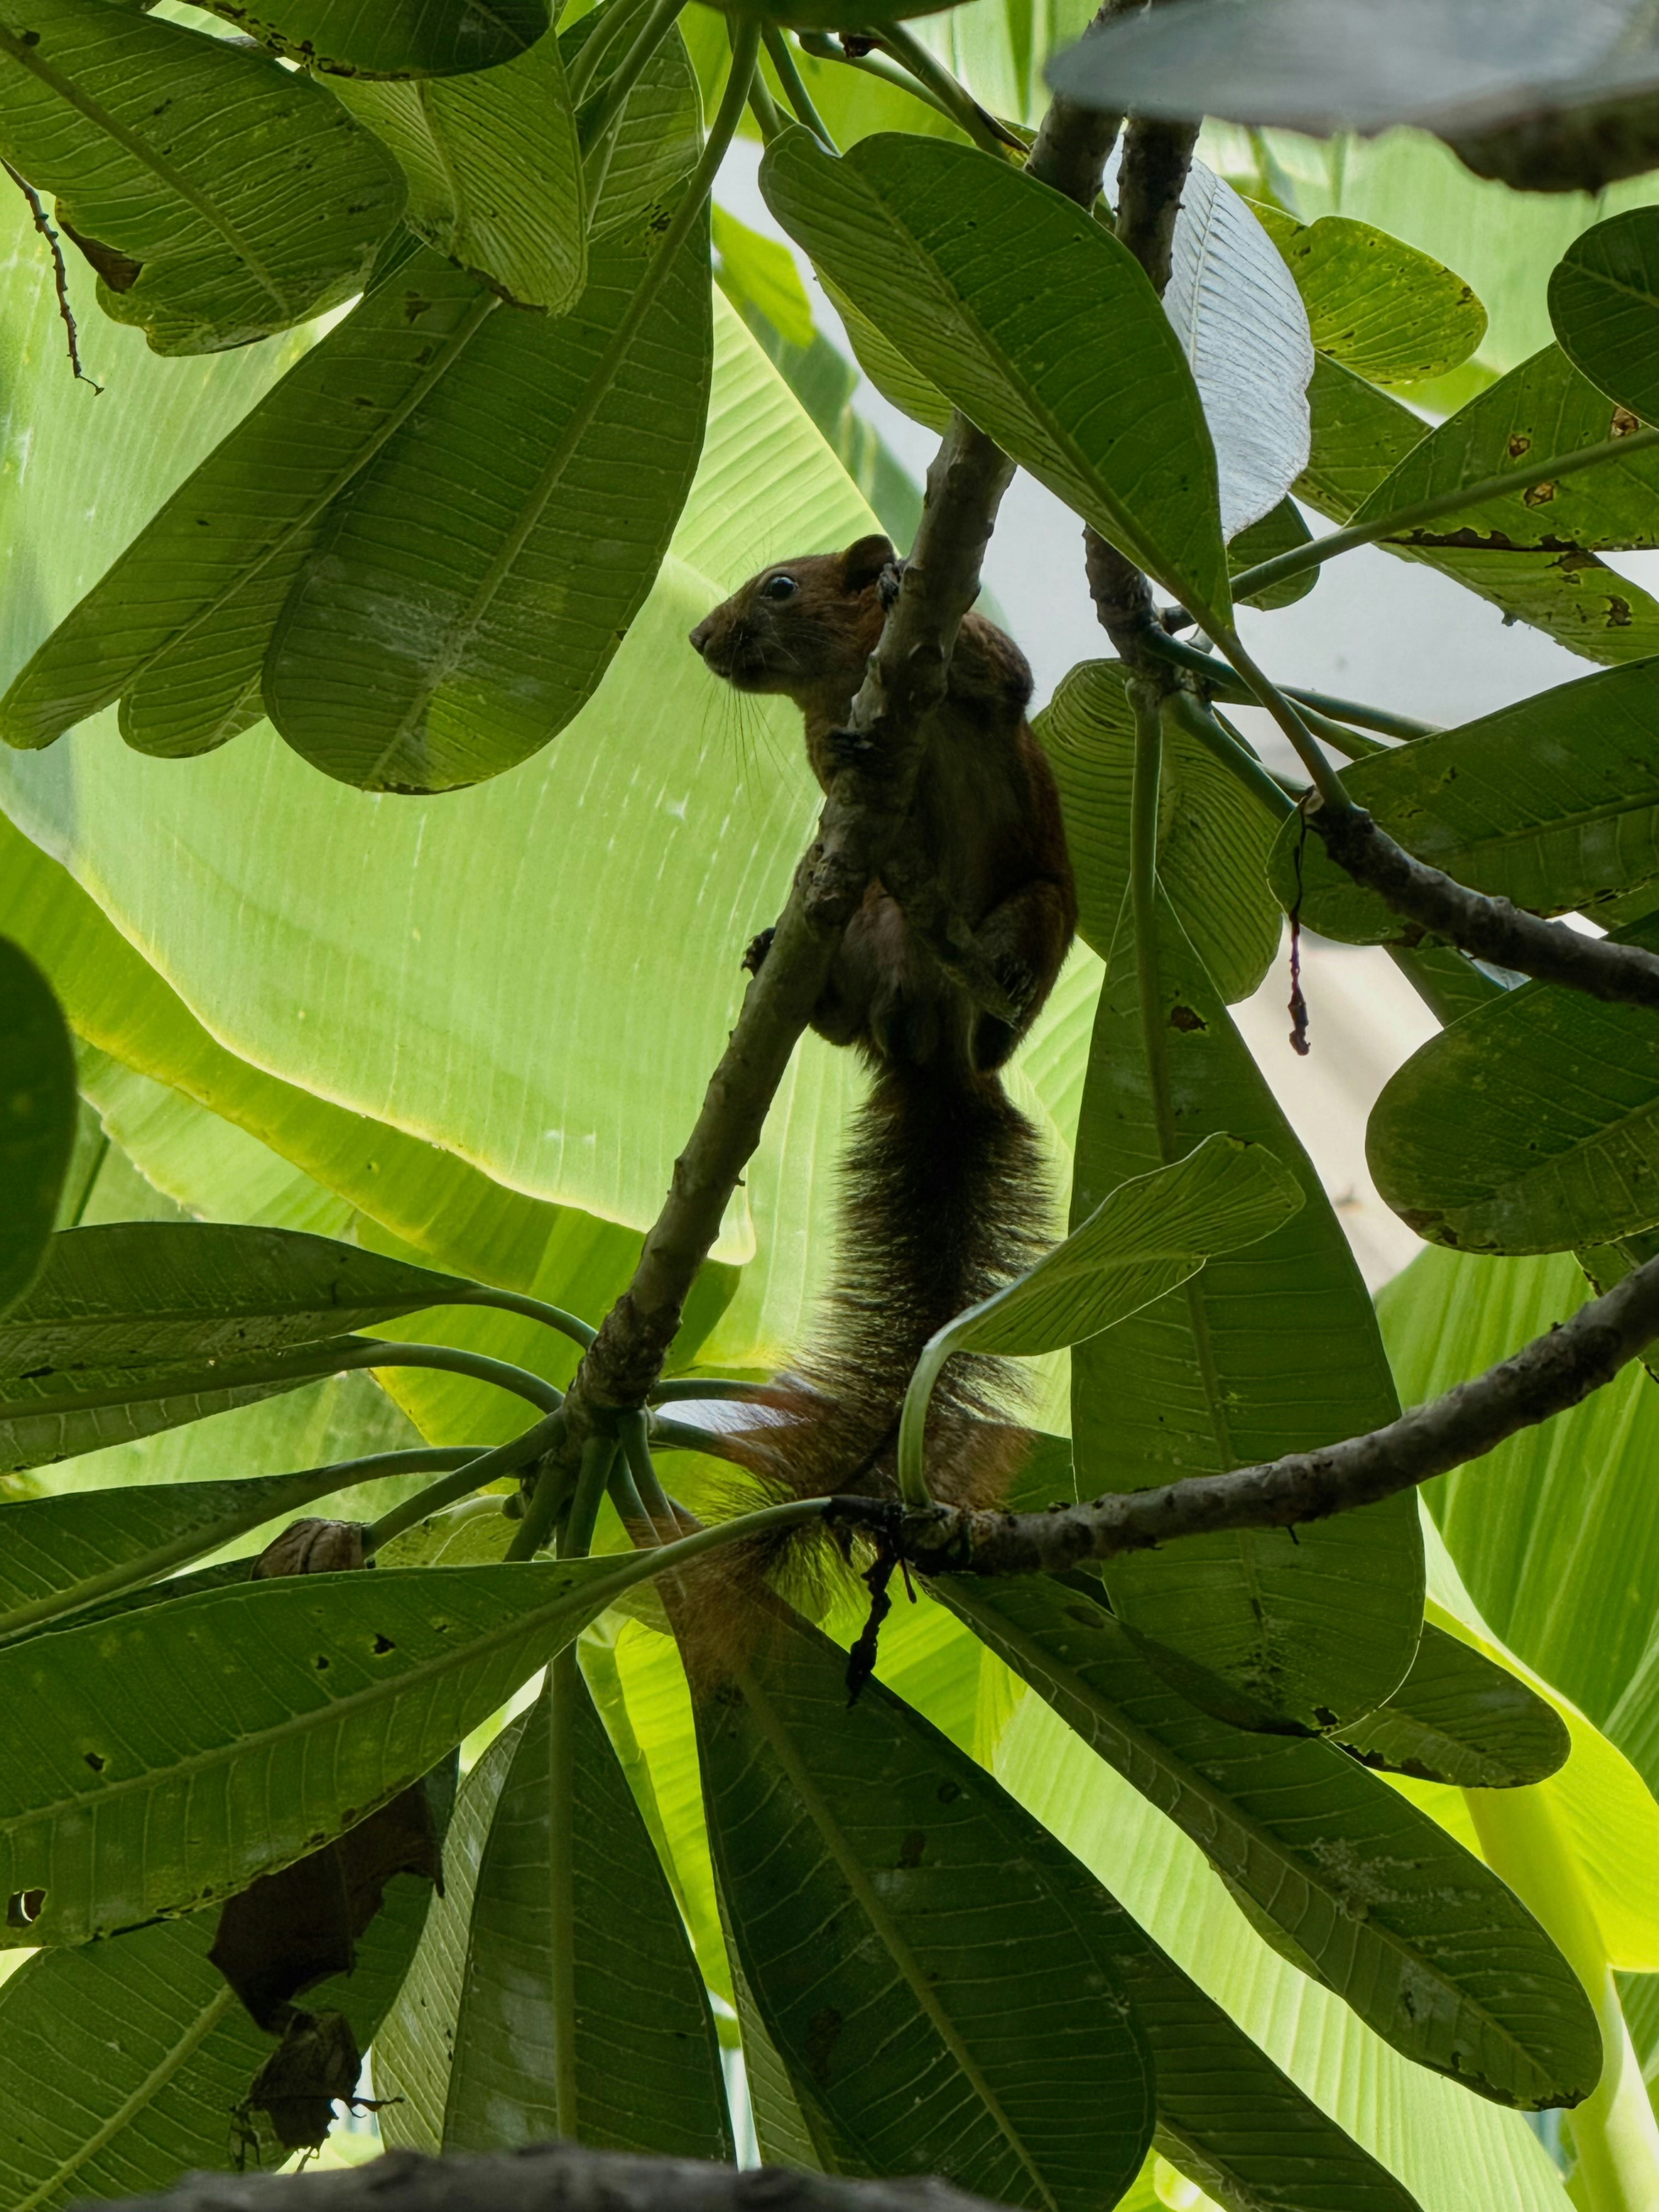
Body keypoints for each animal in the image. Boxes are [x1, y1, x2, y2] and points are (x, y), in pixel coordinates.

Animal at [687, 532, 1077, 1610]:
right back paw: (785, 962)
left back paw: (1000, 983)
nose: (701, 637)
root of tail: (932, 1056)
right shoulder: (833, 758)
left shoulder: (985, 678)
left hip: (1032, 916)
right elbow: (835, 771)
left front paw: (903, 578)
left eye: (782, 585)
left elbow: (1007, 675)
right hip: (867, 921)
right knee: (845, 978)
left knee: (1004, 981)